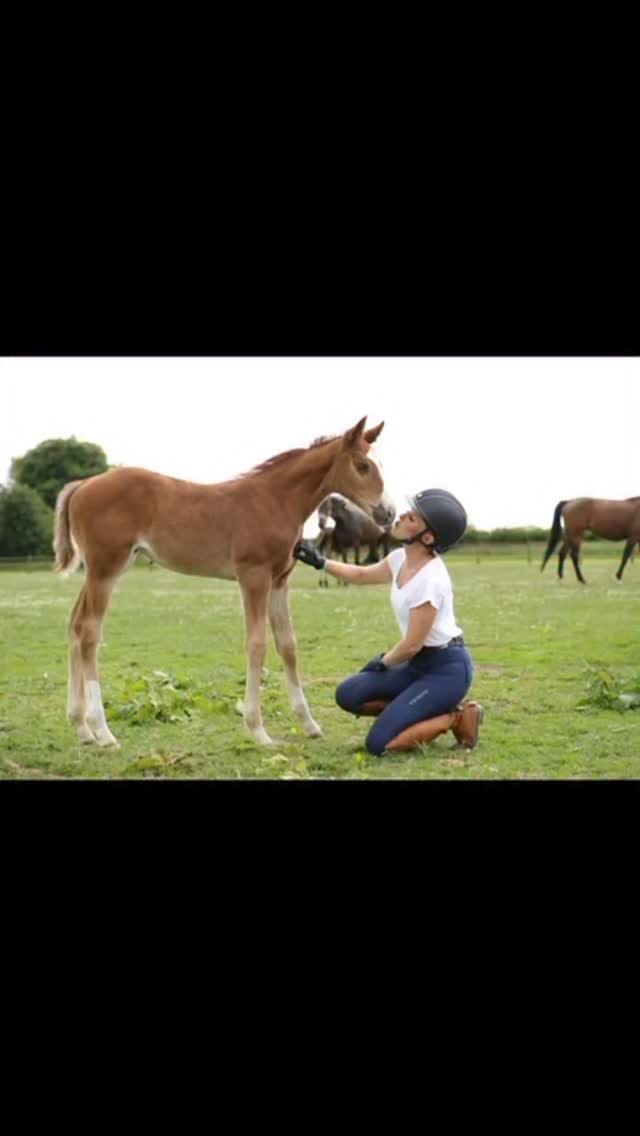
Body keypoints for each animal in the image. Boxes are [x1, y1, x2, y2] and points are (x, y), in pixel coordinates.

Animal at [53, 416, 395, 747]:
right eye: (363, 465)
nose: (388, 513)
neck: (275, 501)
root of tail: (83, 484)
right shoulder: (254, 576)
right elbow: (257, 644)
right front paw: (258, 730)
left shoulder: (280, 582)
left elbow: (288, 645)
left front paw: (309, 724)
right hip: (105, 570)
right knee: (89, 633)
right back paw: (103, 731)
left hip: (98, 571)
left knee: (74, 625)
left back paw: (82, 727)